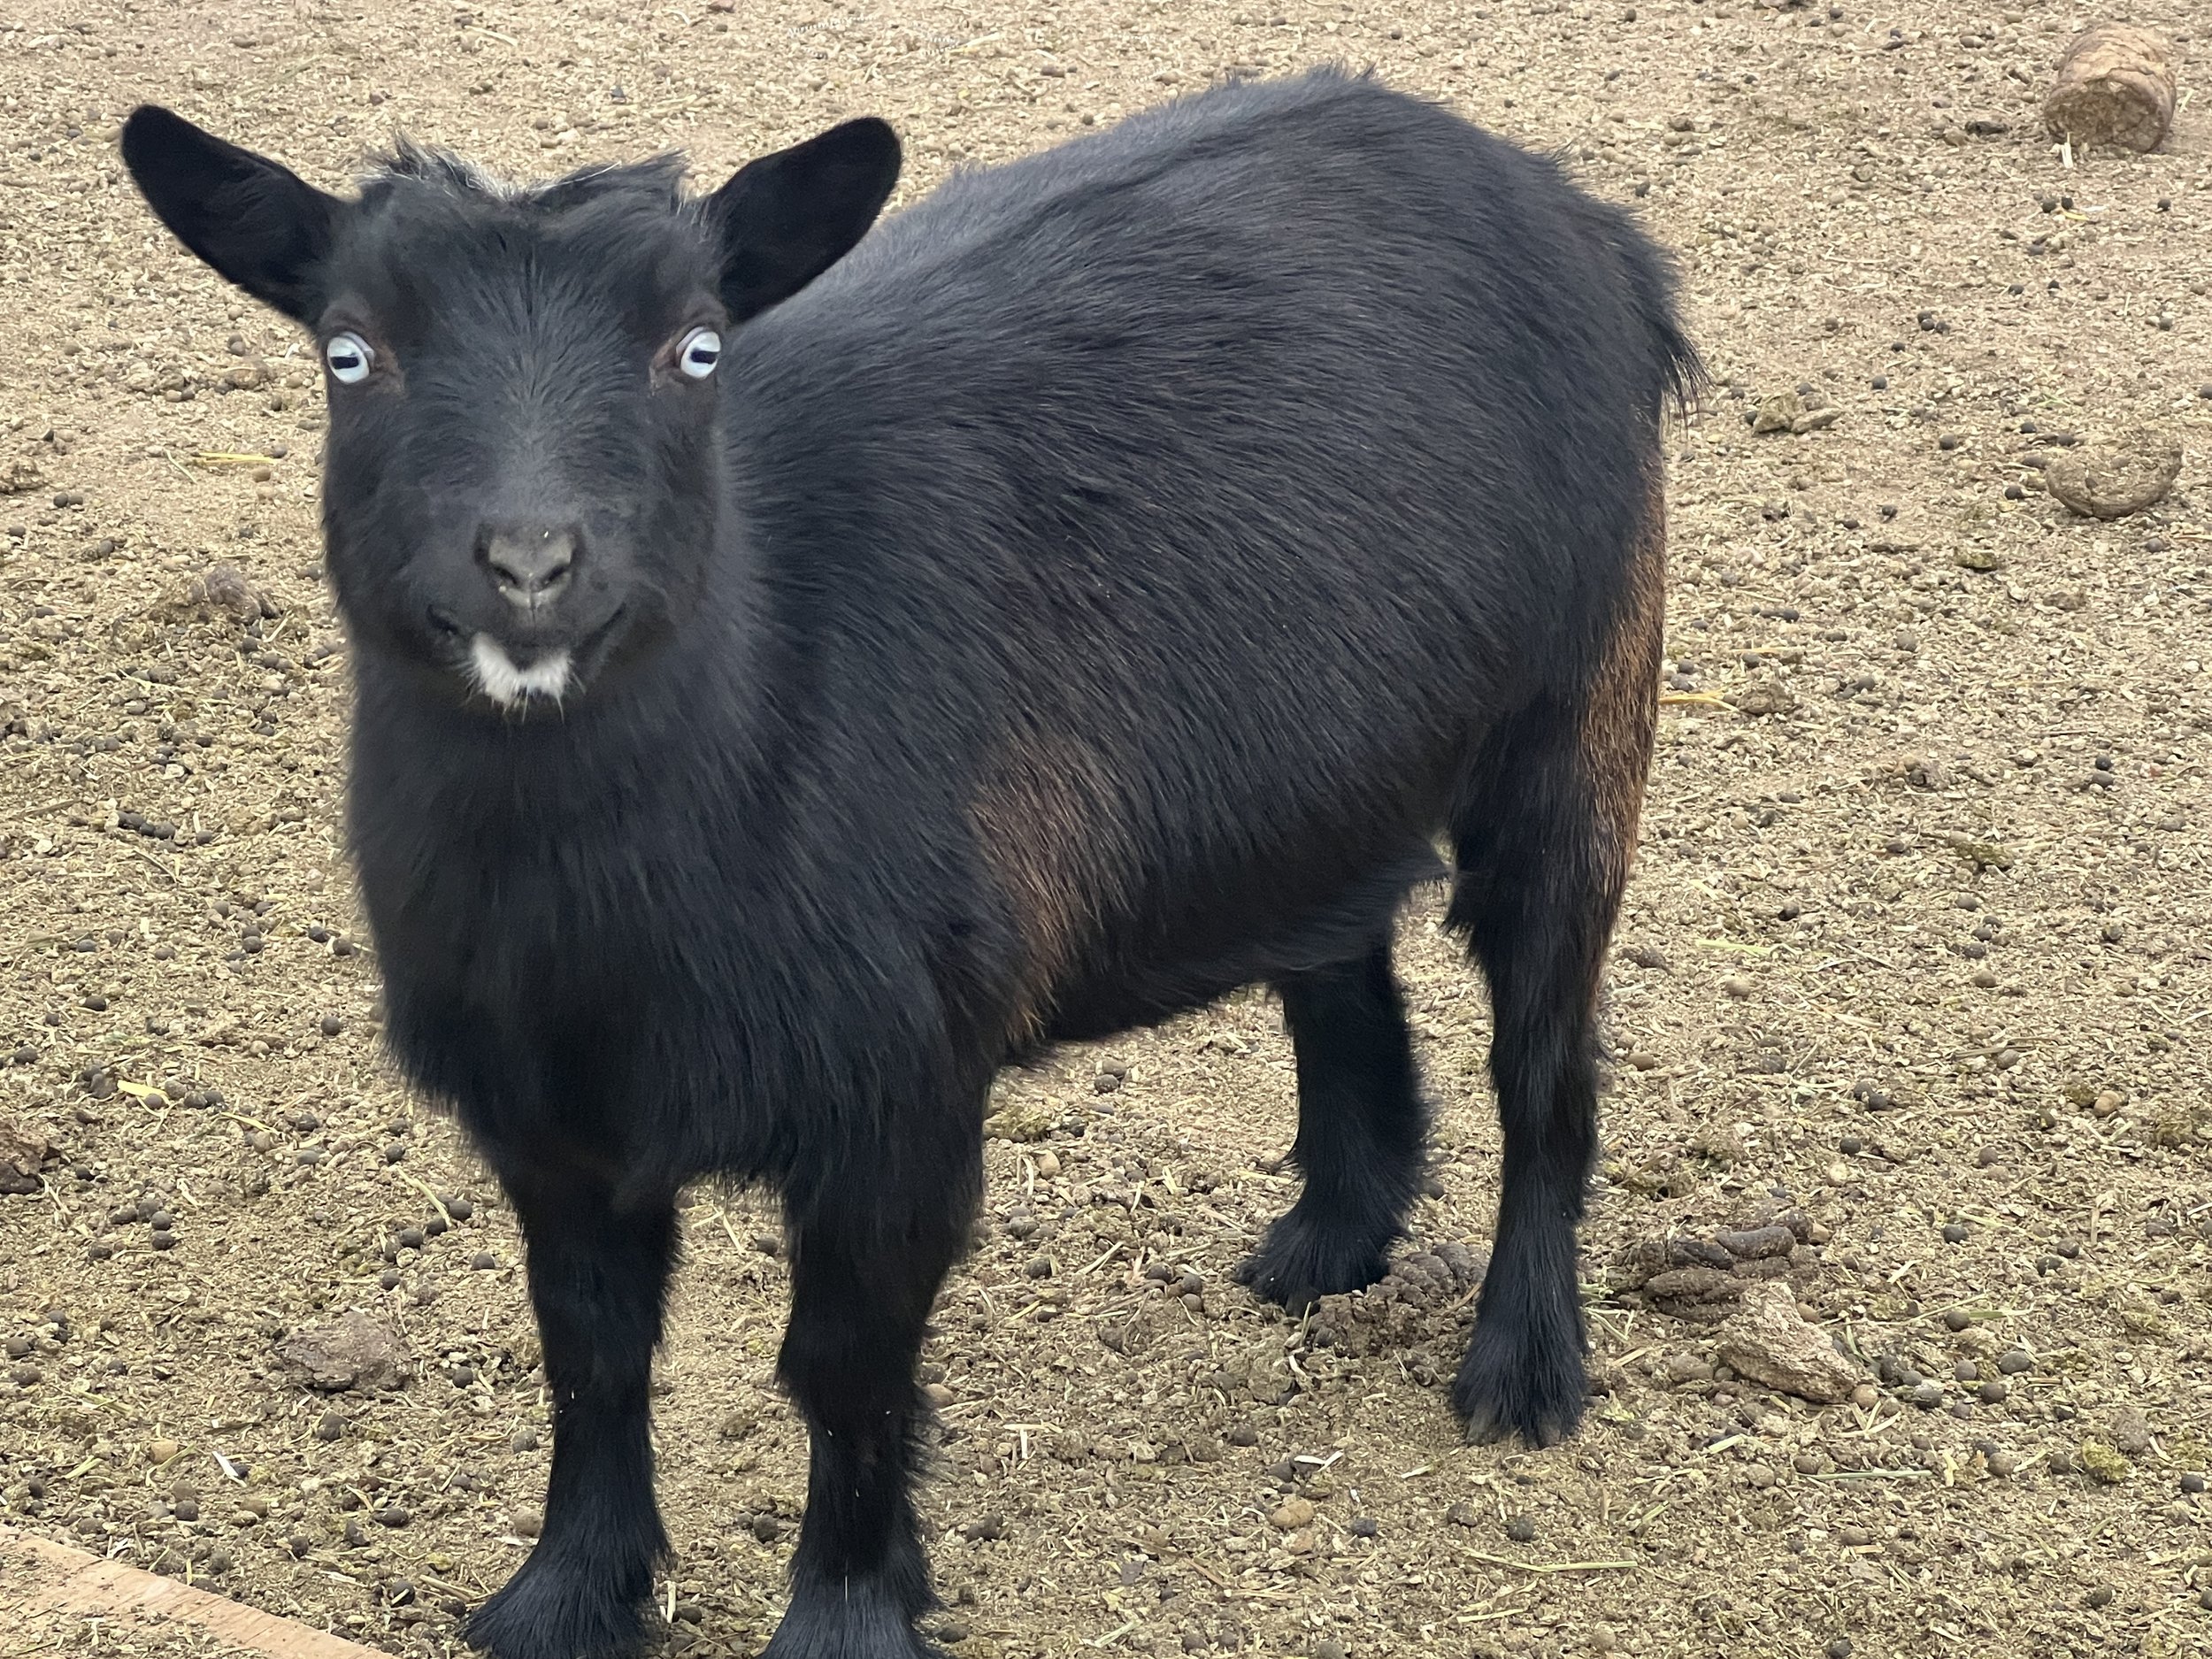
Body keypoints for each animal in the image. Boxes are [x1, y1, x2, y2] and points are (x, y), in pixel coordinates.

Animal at [123, 68, 1696, 1659]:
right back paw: (1333, 1232)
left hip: (1582, 705)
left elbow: (846, 1365)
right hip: (1315, 768)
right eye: (349, 351)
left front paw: (846, 1614)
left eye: (696, 346)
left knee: (1547, 1058)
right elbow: (588, 1346)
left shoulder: (899, 1085)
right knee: (1337, 956)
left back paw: (1523, 1366)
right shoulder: (546, 1111)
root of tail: (1571, 214)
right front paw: (566, 1596)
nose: (529, 569)